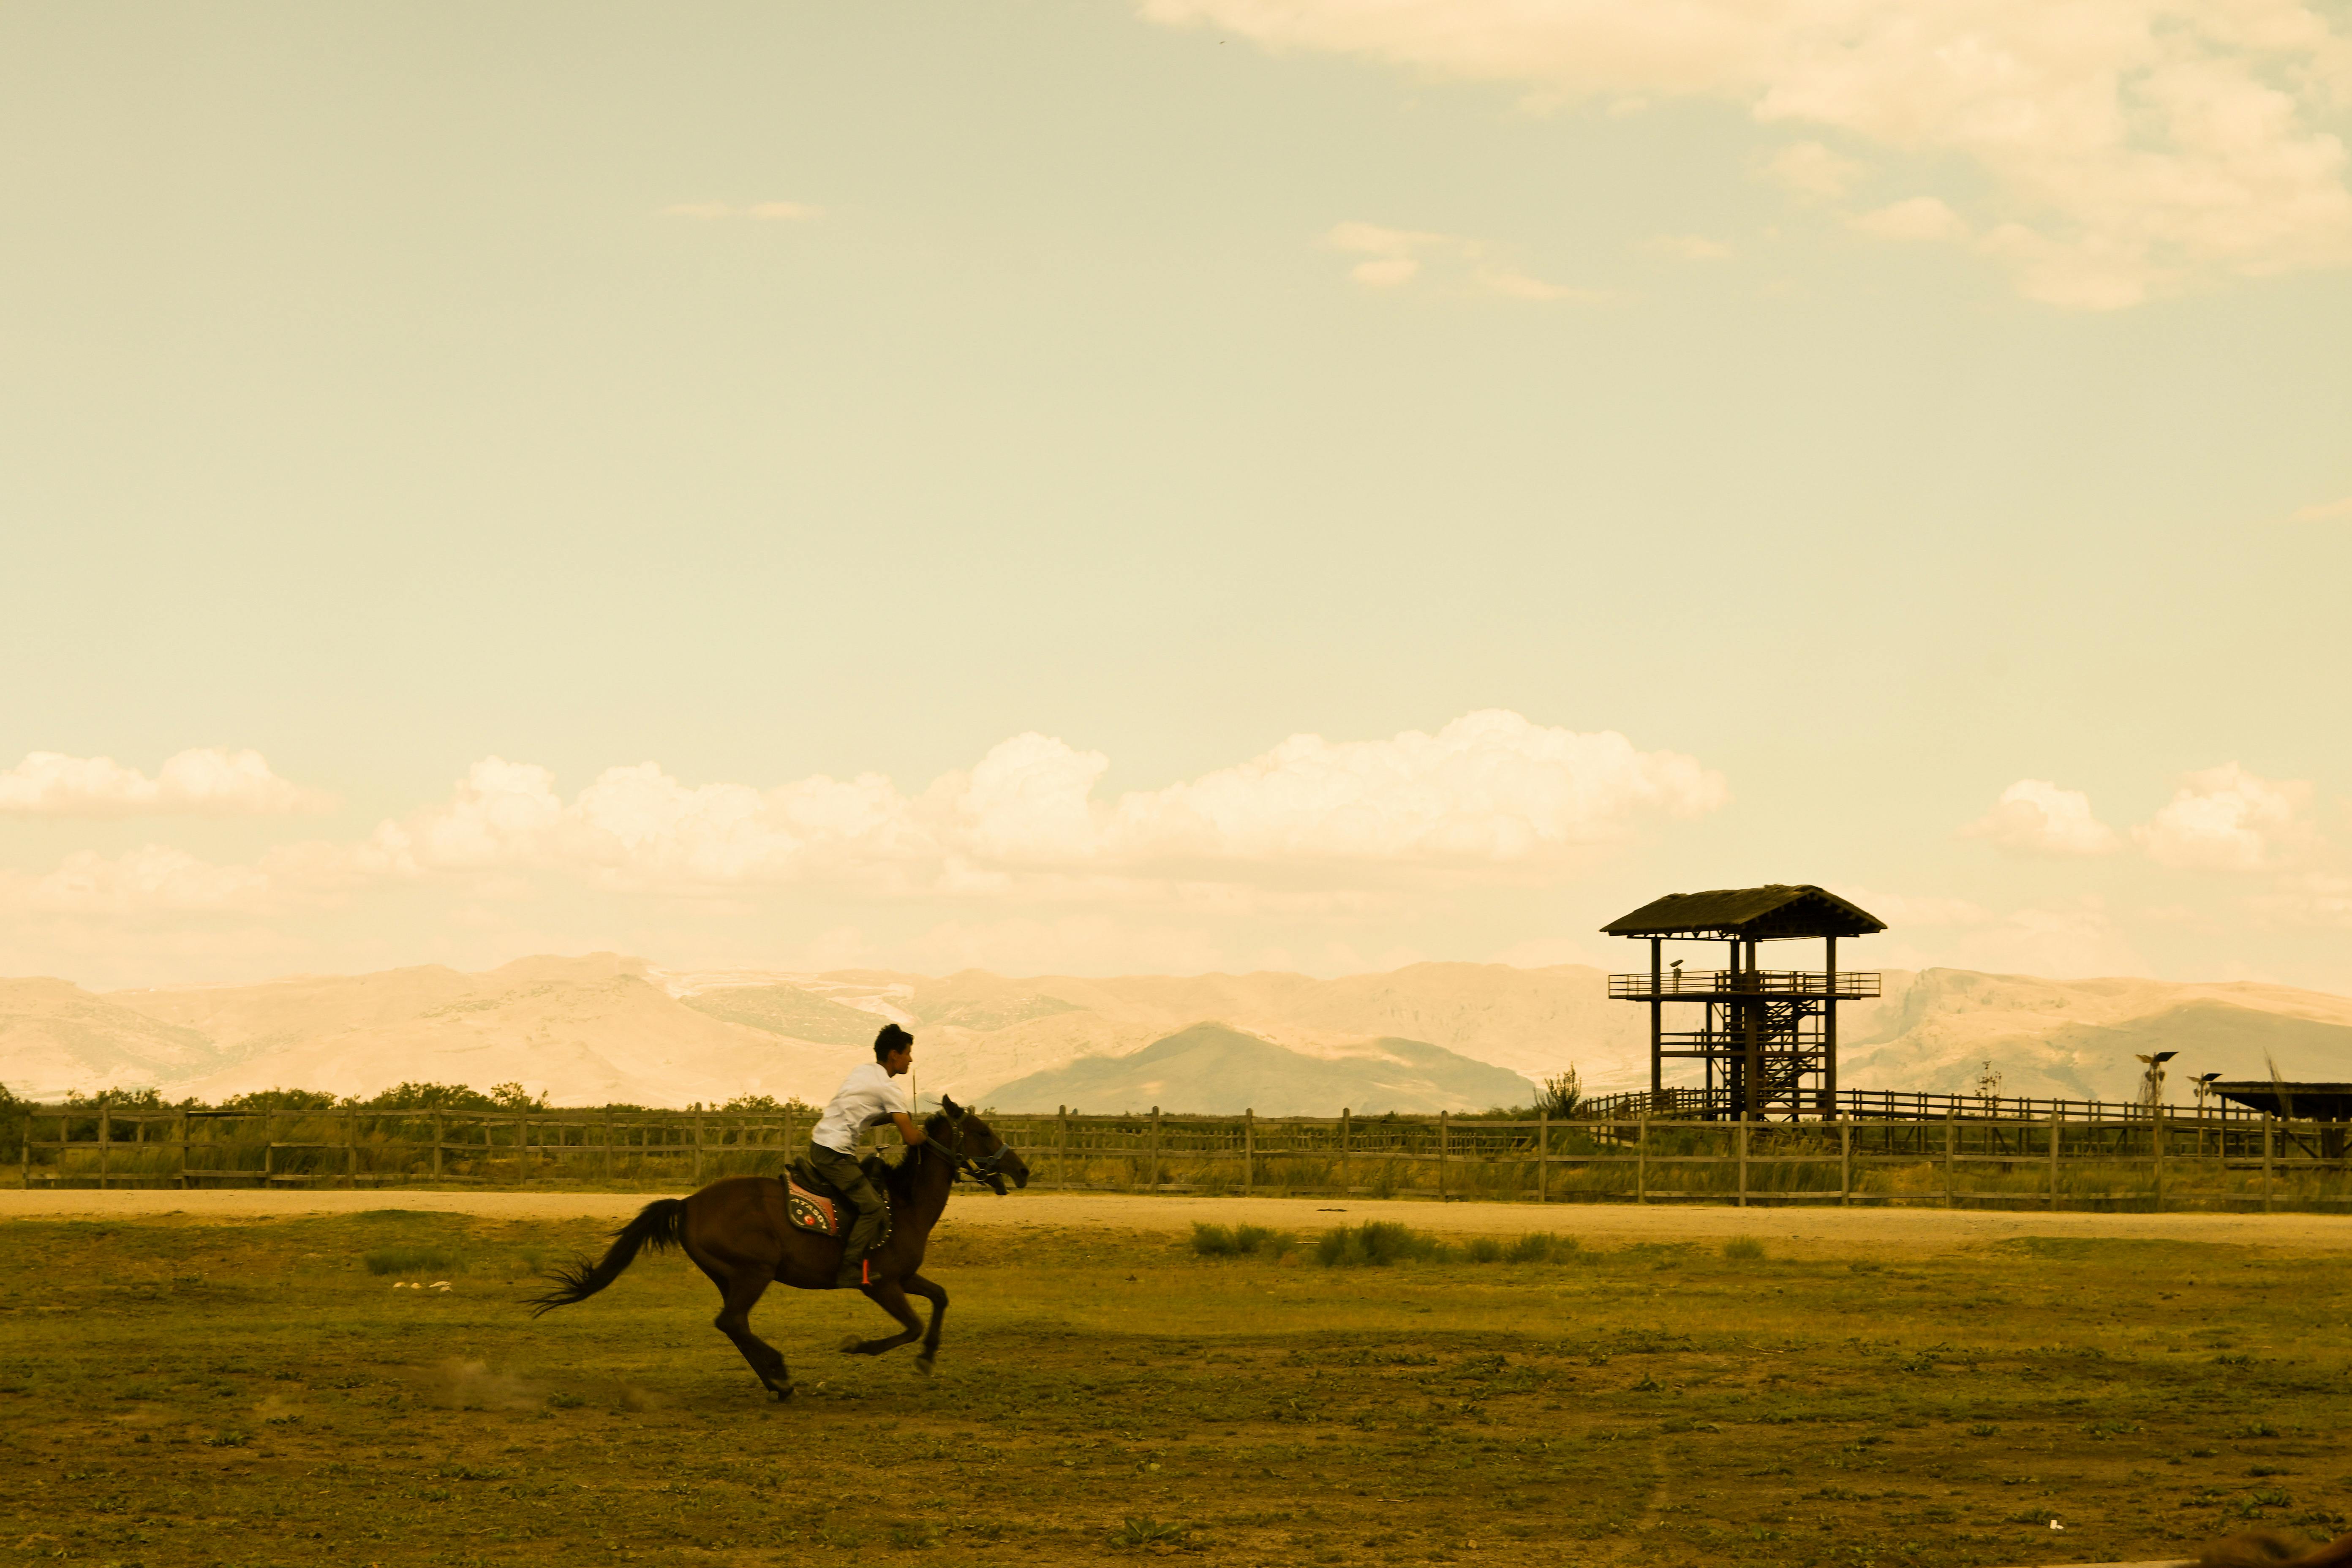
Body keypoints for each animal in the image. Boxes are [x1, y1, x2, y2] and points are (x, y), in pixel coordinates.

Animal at [534, 1100, 1030, 1401]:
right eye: (983, 1132)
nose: (1023, 1170)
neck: (904, 1203)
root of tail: (689, 1203)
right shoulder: (881, 1284)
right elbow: (911, 1325)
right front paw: (859, 1346)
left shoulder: (905, 1278)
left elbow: (940, 1299)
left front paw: (927, 1357)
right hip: (754, 1272)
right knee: (732, 1322)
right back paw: (779, 1372)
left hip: (732, 1277)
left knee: (733, 1324)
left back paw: (776, 1381)